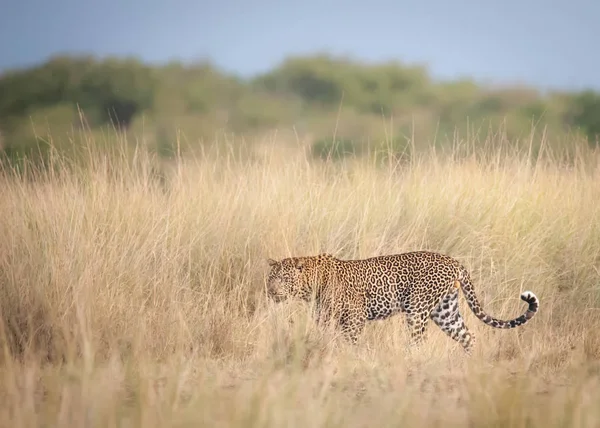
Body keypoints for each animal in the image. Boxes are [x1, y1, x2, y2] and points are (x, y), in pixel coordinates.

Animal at [268, 251, 540, 354]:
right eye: (270, 278)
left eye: (283, 279)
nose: (271, 292)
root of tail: (454, 262)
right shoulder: (324, 318)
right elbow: (325, 338)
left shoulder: (355, 317)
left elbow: (350, 341)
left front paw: (349, 357)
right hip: (445, 311)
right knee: (467, 335)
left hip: (418, 309)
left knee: (419, 341)